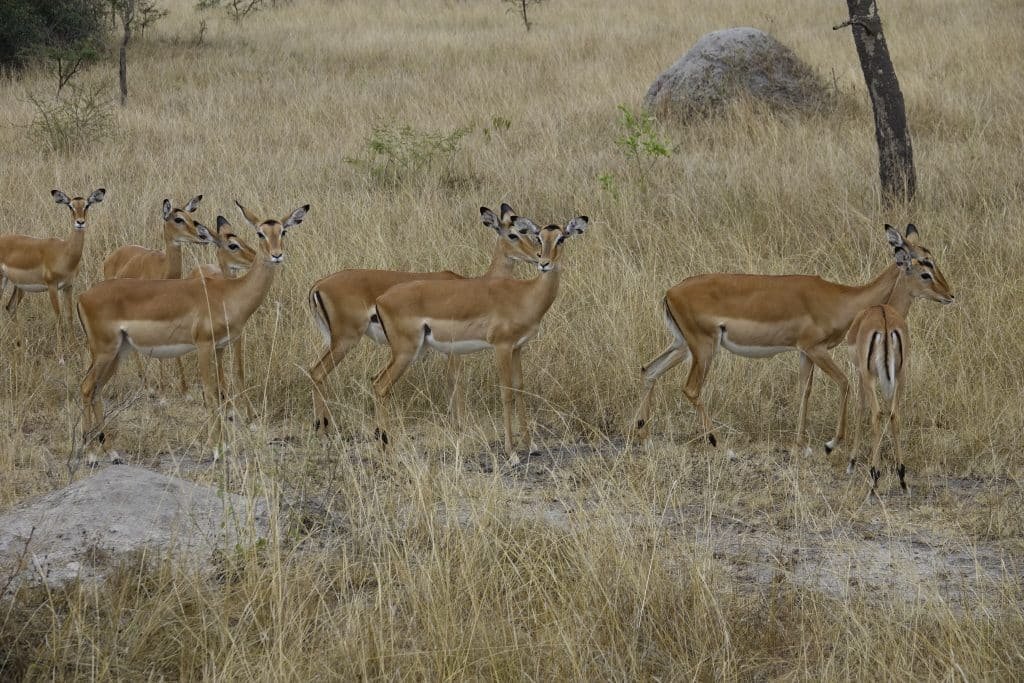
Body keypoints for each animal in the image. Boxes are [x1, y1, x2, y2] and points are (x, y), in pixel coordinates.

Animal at [0, 189, 106, 342]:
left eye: (87, 205)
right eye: (70, 206)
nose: (80, 222)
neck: (64, 252)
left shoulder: (68, 286)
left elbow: (69, 315)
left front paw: (72, 344)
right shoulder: (52, 286)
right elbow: (58, 317)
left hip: (18, 286)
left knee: (10, 307)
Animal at [77, 201, 309, 465]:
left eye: (283, 231)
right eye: (260, 233)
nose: (276, 255)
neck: (229, 294)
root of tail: (82, 296)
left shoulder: (220, 346)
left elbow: (221, 390)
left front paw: (224, 445)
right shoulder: (204, 346)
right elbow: (210, 394)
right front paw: (217, 449)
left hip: (118, 352)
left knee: (96, 391)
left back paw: (111, 452)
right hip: (104, 352)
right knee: (86, 387)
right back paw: (90, 455)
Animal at [307, 204, 541, 434]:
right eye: (513, 234)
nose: (538, 256)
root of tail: (319, 284)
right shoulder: (454, 347)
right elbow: (457, 380)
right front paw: (461, 425)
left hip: (336, 341)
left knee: (313, 371)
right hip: (347, 340)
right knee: (319, 373)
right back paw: (325, 429)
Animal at [371, 215, 589, 464]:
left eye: (561, 238)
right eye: (539, 237)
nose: (544, 263)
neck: (524, 295)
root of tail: (380, 299)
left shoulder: (518, 347)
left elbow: (520, 388)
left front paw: (531, 445)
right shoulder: (501, 347)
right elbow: (506, 392)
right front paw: (512, 453)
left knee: (375, 381)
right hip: (406, 353)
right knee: (381, 386)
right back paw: (388, 452)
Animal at [632, 224, 954, 454]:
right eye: (925, 268)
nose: (950, 295)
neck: (843, 300)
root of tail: (670, 292)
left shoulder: (803, 352)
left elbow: (804, 391)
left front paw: (801, 445)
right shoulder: (817, 349)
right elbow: (844, 384)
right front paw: (830, 443)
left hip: (682, 346)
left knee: (649, 370)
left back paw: (645, 438)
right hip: (704, 348)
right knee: (690, 389)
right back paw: (719, 445)